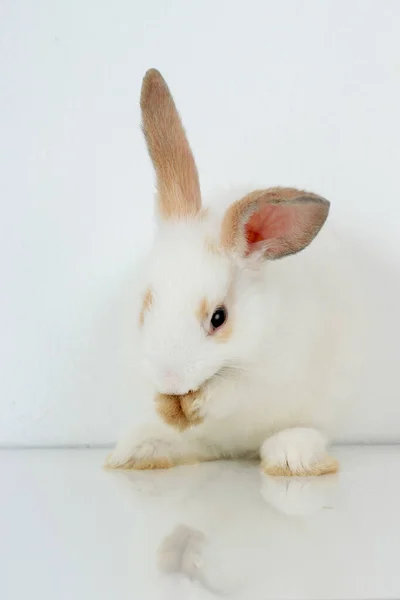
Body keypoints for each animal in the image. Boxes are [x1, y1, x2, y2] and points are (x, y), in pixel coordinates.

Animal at [104, 68, 364, 476]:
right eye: (144, 309)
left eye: (219, 318)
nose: (171, 379)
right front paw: (168, 408)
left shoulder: (263, 375)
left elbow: (230, 393)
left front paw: (196, 404)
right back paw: (138, 451)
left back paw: (291, 456)